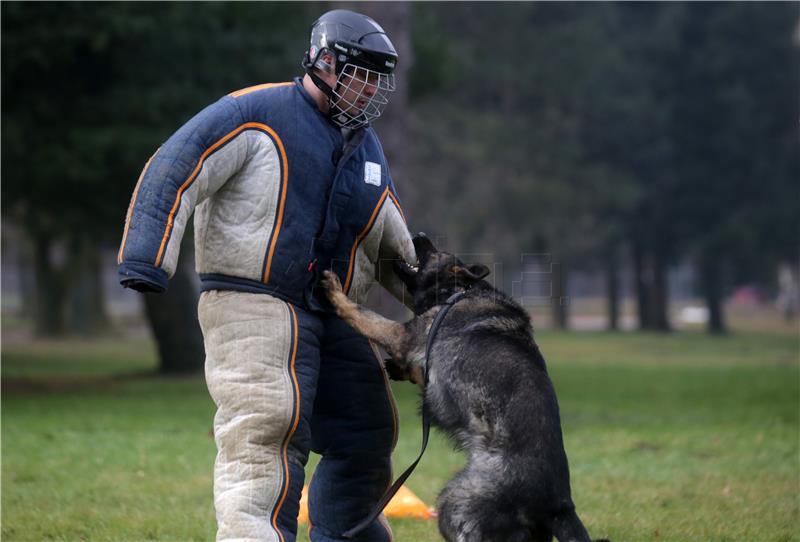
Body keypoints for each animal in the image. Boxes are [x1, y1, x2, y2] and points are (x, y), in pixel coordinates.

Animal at [322, 237, 604, 542]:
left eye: (435, 251)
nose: (419, 234)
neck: (458, 292)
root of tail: (559, 505)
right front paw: (399, 368)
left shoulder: (404, 336)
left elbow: (364, 315)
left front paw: (335, 293)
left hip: (454, 500)